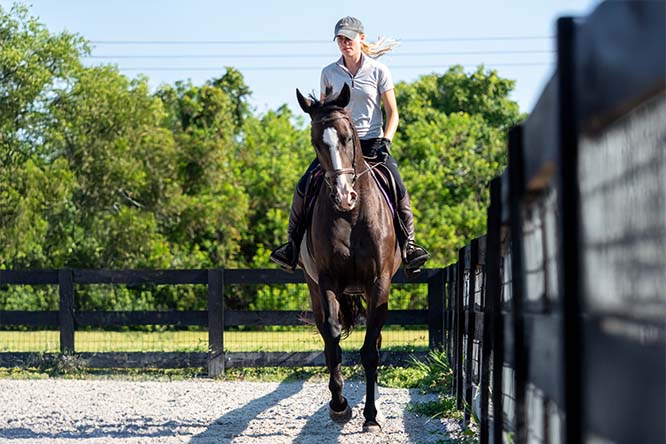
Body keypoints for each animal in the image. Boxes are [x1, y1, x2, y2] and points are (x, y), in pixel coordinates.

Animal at [295, 83, 402, 433]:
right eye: (316, 141)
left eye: (346, 137)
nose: (344, 196)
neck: (351, 216)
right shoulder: (327, 281)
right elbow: (332, 342)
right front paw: (340, 406)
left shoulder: (379, 282)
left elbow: (370, 352)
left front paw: (371, 416)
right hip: (314, 286)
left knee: (376, 343)